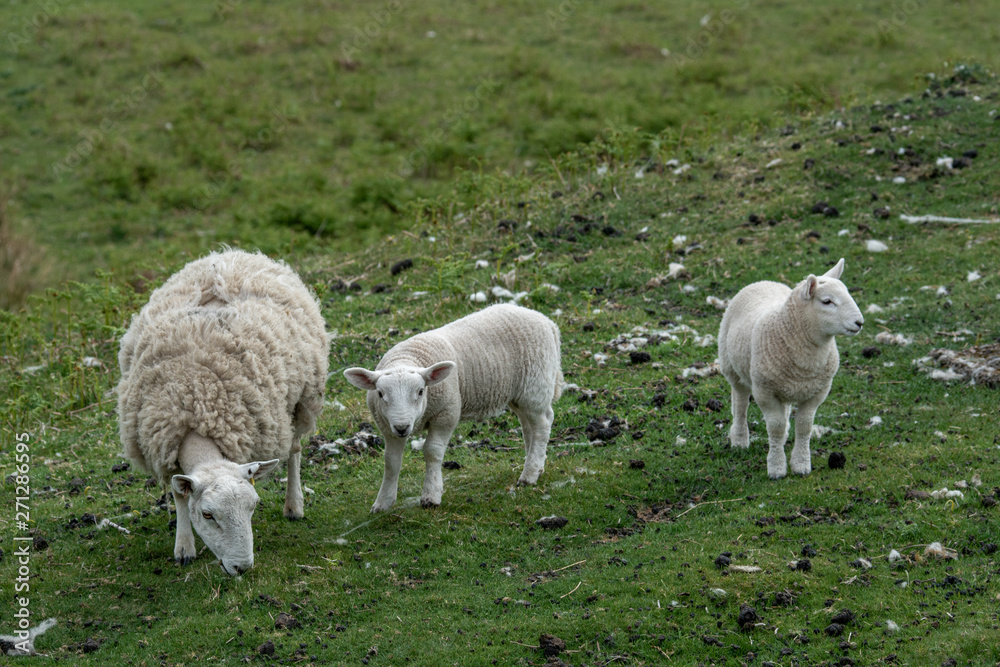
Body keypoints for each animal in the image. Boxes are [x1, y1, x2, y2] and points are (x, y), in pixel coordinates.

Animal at [117, 249, 329, 575]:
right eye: (207, 515)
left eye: (253, 506)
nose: (242, 567)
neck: (196, 406)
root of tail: (230, 254)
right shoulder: (168, 442)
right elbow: (180, 494)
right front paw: (184, 547)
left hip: (302, 399)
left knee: (294, 449)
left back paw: (294, 505)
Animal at [344, 303, 563, 512]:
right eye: (380, 394)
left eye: (421, 391)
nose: (402, 427)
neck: (407, 358)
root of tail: (546, 321)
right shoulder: (388, 426)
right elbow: (391, 462)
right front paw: (383, 503)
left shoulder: (446, 414)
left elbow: (432, 451)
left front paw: (431, 496)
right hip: (521, 394)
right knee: (530, 426)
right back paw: (537, 466)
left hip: (535, 385)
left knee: (542, 426)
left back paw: (529, 475)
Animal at [718, 258, 863, 479]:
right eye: (827, 301)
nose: (859, 322)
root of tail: (762, 282)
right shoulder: (764, 391)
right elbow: (775, 427)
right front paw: (776, 468)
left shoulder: (818, 391)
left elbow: (804, 427)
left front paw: (801, 464)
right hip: (732, 368)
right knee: (740, 404)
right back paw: (740, 440)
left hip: (783, 383)